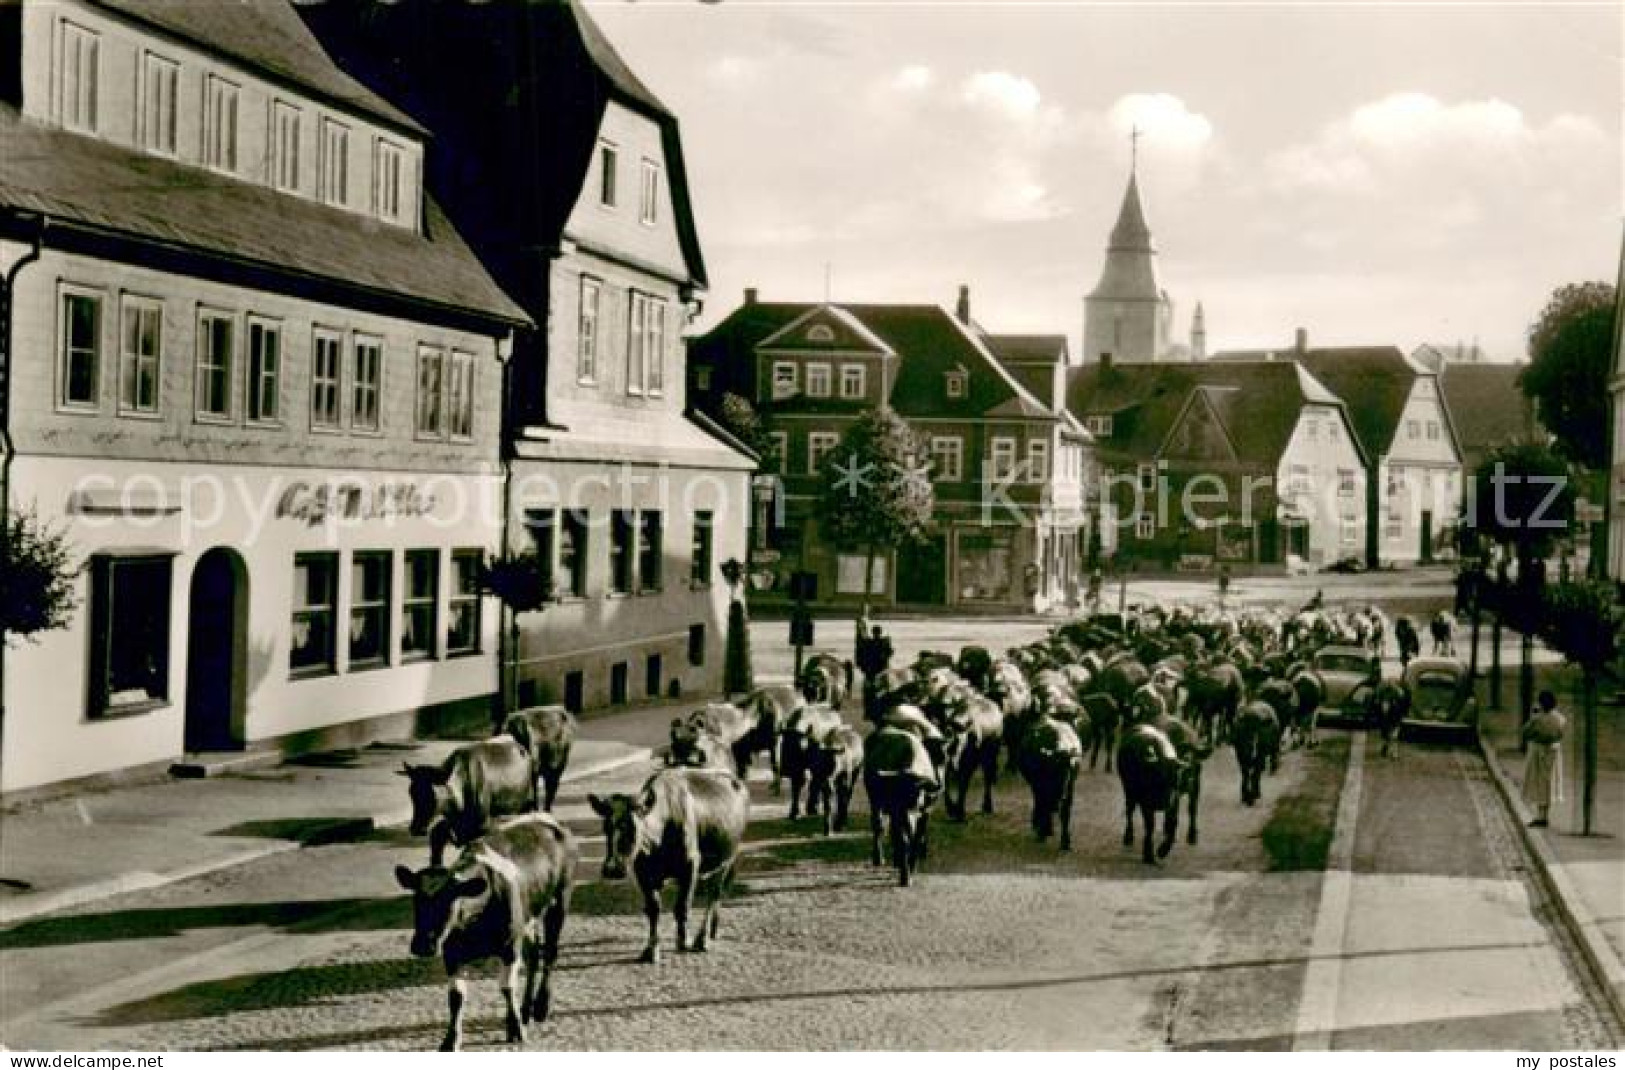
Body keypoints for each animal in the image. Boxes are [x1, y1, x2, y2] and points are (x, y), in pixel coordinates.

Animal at [393, 813, 578, 1047]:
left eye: (449, 902)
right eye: (417, 901)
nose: (422, 946)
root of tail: (546, 818)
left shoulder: (509, 947)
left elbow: (507, 988)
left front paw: (515, 1028)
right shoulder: (451, 953)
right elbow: (456, 997)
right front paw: (451, 1039)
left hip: (560, 900)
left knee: (550, 953)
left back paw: (540, 1007)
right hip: (529, 917)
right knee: (534, 955)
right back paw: (525, 1009)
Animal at [403, 738, 542, 871]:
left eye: (433, 794)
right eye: (411, 792)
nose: (416, 829)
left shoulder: (482, 827)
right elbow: (437, 838)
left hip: (529, 804)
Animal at [588, 761, 750, 962]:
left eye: (631, 827)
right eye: (605, 827)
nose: (612, 869)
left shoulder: (690, 864)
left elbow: (682, 906)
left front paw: (683, 942)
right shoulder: (643, 872)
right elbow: (653, 909)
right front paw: (652, 948)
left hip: (727, 859)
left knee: (714, 895)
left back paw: (702, 939)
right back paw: (712, 931)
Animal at [864, 725, 942, 884]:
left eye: (917, 799)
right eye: (899, 800)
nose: (908, 823)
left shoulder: (925, 814)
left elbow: (917, 840)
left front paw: (912, 867)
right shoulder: (896, 812)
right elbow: (903, 841)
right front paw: (905, 876)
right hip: (875, 801)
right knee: (878, 826)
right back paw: (879, 858)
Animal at [1014, 708, 1079, 852]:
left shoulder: (1037, 782)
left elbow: (1040, 802)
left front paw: (1041, 827)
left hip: (1046, 782)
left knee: (1046, 802)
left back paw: (1042, 833)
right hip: (1069, 783)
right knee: (1065, 807)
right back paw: (1065, 843)